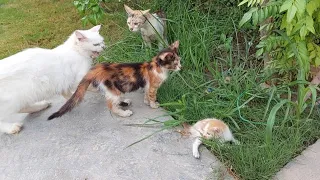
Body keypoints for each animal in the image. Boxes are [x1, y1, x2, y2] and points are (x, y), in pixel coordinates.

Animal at [48, 40, 181, 119]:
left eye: (179, 61)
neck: (156, 66)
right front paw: (153, 105)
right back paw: (124, 113)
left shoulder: (148, 85)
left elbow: (147, 94)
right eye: (175, 63)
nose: (181, 67)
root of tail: (99, 68)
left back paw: (124, 102)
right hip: (114, 89)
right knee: (111, 106)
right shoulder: (153, 86)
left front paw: (146, 102)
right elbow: (152, 96)